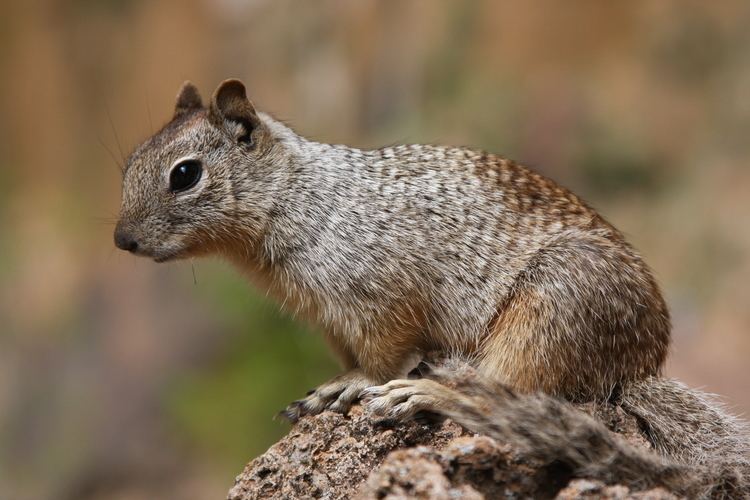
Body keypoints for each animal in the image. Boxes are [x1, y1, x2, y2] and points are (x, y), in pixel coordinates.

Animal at [114, 79, 748, 496]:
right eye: (128, 164)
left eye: (185, 174)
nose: (122, 240)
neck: (299, 197)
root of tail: (637, 369)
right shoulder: (330, 322)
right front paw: (324, 389)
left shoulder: (376, 303)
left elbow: (382, 357)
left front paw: (354, 386)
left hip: (547, 315)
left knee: (496, 398)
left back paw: (423, 394)